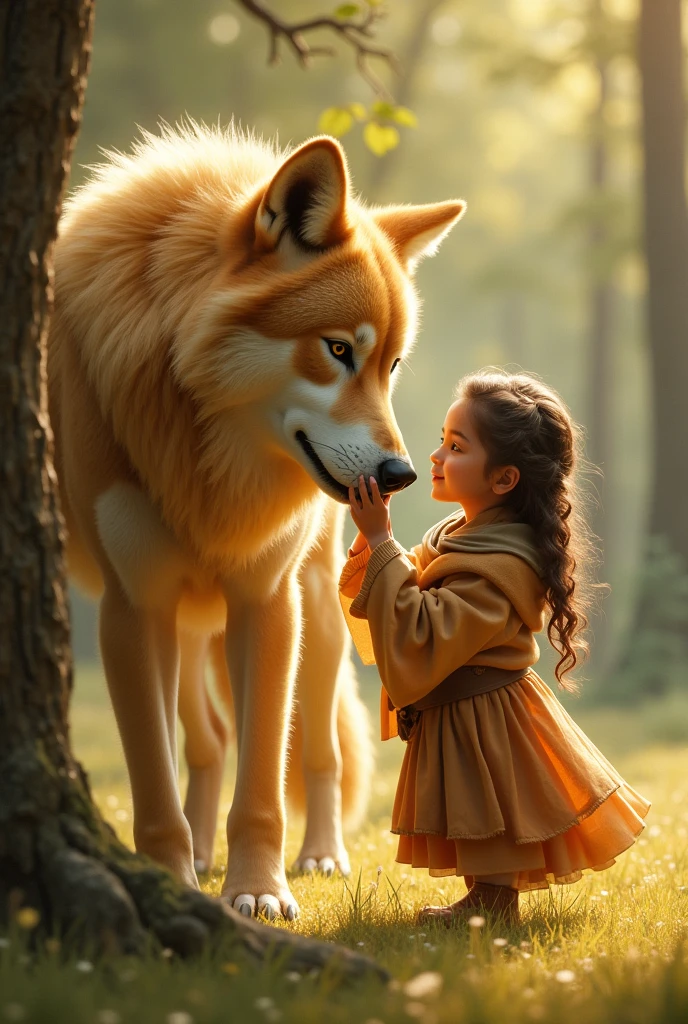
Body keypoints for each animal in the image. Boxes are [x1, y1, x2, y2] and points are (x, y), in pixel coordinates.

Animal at [48, 124, 465, 920]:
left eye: (392, 365)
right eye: (339, 349)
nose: (400, 475)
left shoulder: (267, 602)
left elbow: (267, 780)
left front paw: (260, 892)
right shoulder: (133, 607)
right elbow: (154, 779)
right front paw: (174, 879)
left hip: (320, 615)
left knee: (318, 752)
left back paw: (321, 854)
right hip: (186, 623)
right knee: (208, 740)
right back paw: (198, 852)